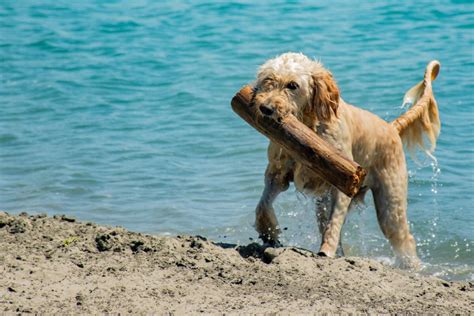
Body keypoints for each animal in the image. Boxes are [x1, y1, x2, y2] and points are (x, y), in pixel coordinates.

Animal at [252, 51, 440, 266]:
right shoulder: (277, 174)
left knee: (404, 238)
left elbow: (333, 224)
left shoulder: (343, 183)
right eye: (268, 80)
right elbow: (263, 205)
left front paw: (326, 251)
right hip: (326, 204)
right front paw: (268, 232)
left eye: (292, 85)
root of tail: (392, 127)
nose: (265, 108)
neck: (307, 127)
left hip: (390, 205)